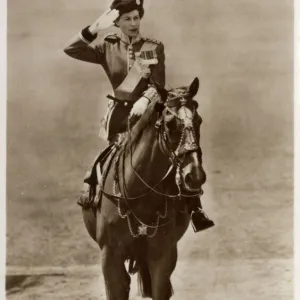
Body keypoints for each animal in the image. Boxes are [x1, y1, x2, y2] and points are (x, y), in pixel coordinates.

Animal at [82, 77, 206, 300]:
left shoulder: (162, 256)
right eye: (169, 124)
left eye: (198, 121)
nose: (195, 175)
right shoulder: (110, 257)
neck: (138, 194)